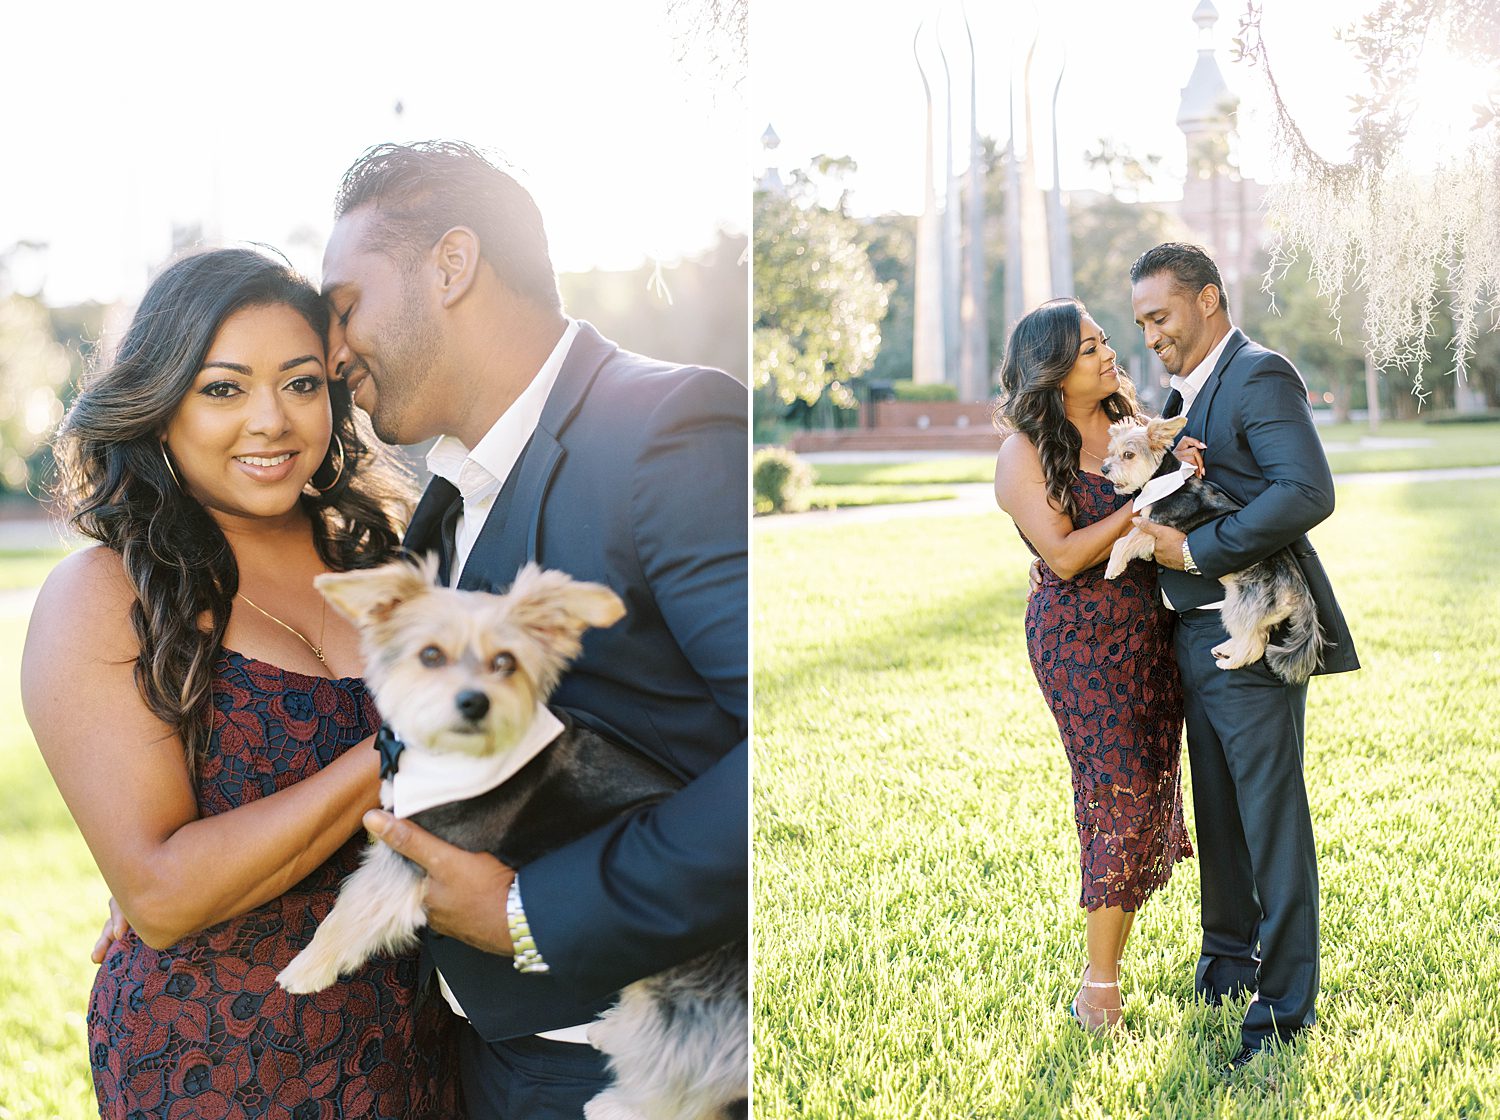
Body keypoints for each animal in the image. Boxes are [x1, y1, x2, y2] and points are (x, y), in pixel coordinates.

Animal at [276, 557, 744, 1120]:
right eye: (430, 655)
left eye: (506, 662)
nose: (474, 702)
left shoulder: (421, 850)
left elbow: (357, 907)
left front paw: (306, 968)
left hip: (691, 987)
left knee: (686, 1073)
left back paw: (616, 1105)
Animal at [1104, 416, 1326, 686]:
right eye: (1111, 451)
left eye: (1128, 454)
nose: (1104, 469)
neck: (1162, 480)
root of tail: (1298, 590)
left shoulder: (1156, 527)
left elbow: (1124, 541)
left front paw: (1113, 566)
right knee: (1258, 634)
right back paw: (1227, 649)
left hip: (1241, 603)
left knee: (1255, 644)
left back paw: (1230, 662)